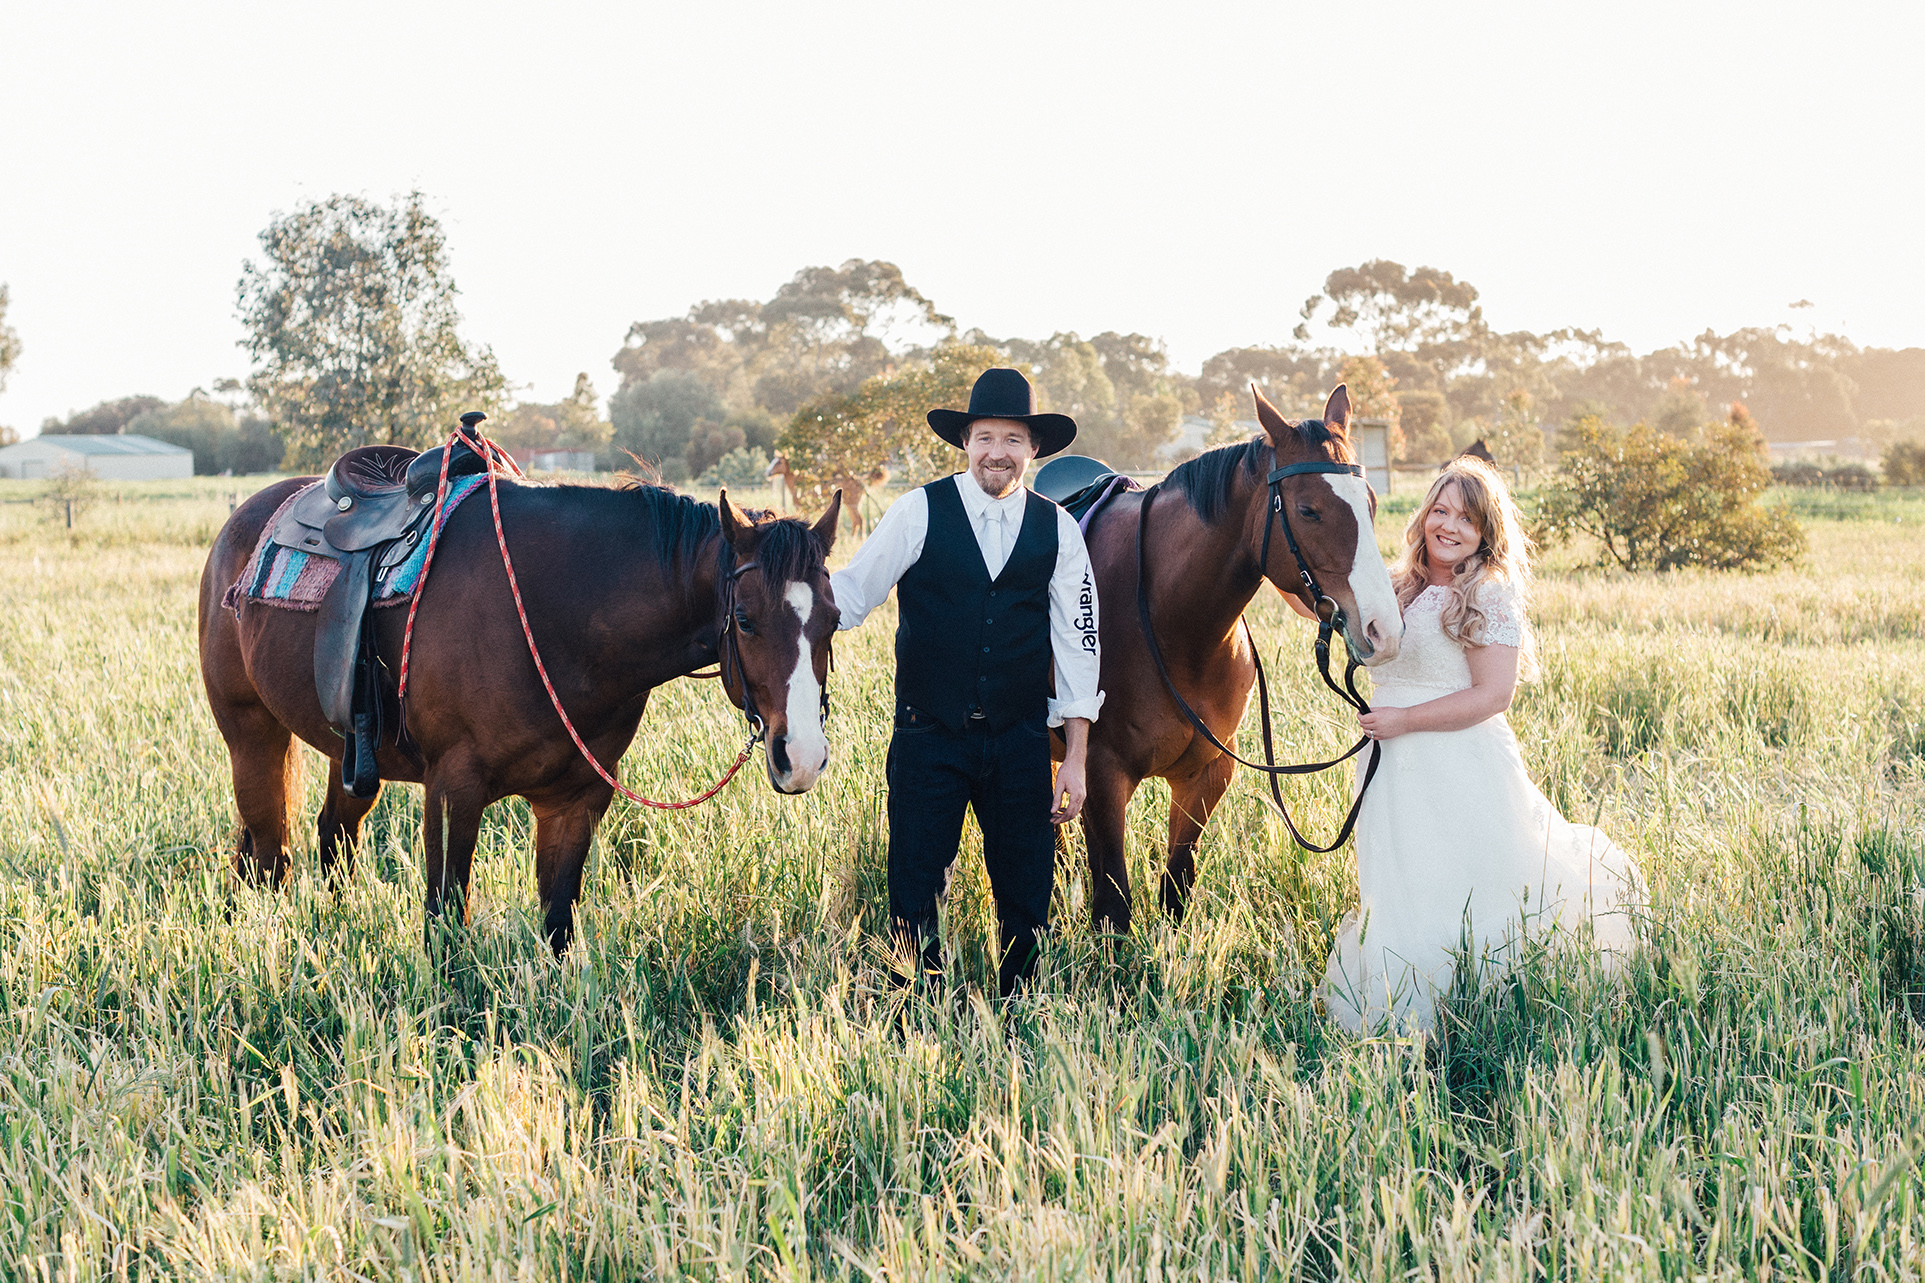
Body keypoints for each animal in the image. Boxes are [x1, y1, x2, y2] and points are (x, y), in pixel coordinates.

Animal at [195, 471, 843, 947]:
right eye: (746, 621)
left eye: (834, 620)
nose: (802, 756)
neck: (554, 613)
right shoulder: (452, 790)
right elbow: (444, 923)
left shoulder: (576, 798)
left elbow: (557, 922)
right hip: (251, 737)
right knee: (268, 858)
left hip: (352, 753)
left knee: (333, 836)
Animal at [1070, 379, 1401, 928]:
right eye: (1308, 510)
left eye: (1371, 504)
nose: (1384, 628)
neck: (1173, 629)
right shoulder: (1102, 775)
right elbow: (1115, 904)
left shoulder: (1205, 775)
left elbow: (1175, 890)